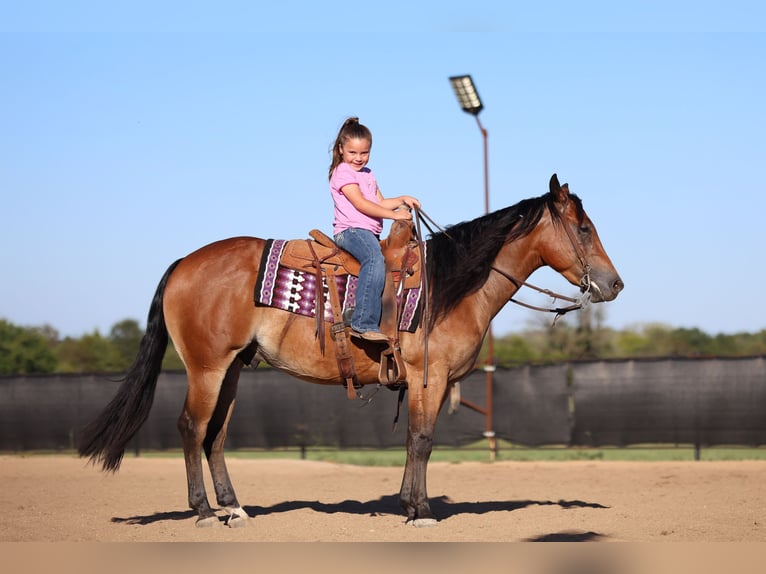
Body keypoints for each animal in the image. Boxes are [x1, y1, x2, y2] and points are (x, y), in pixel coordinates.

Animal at [78, 173, 623, 528]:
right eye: (583, 228)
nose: (615, 284)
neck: (449, 285)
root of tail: (183, 263)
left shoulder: (424, 384)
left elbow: (414, 442)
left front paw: (408, 504)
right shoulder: (429, 377)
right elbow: (422, 441)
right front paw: (421, 512)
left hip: (231, 369)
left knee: (216, 436)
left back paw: (234, 507)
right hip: (207, 368)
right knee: (192, 428)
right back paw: (205, 512)